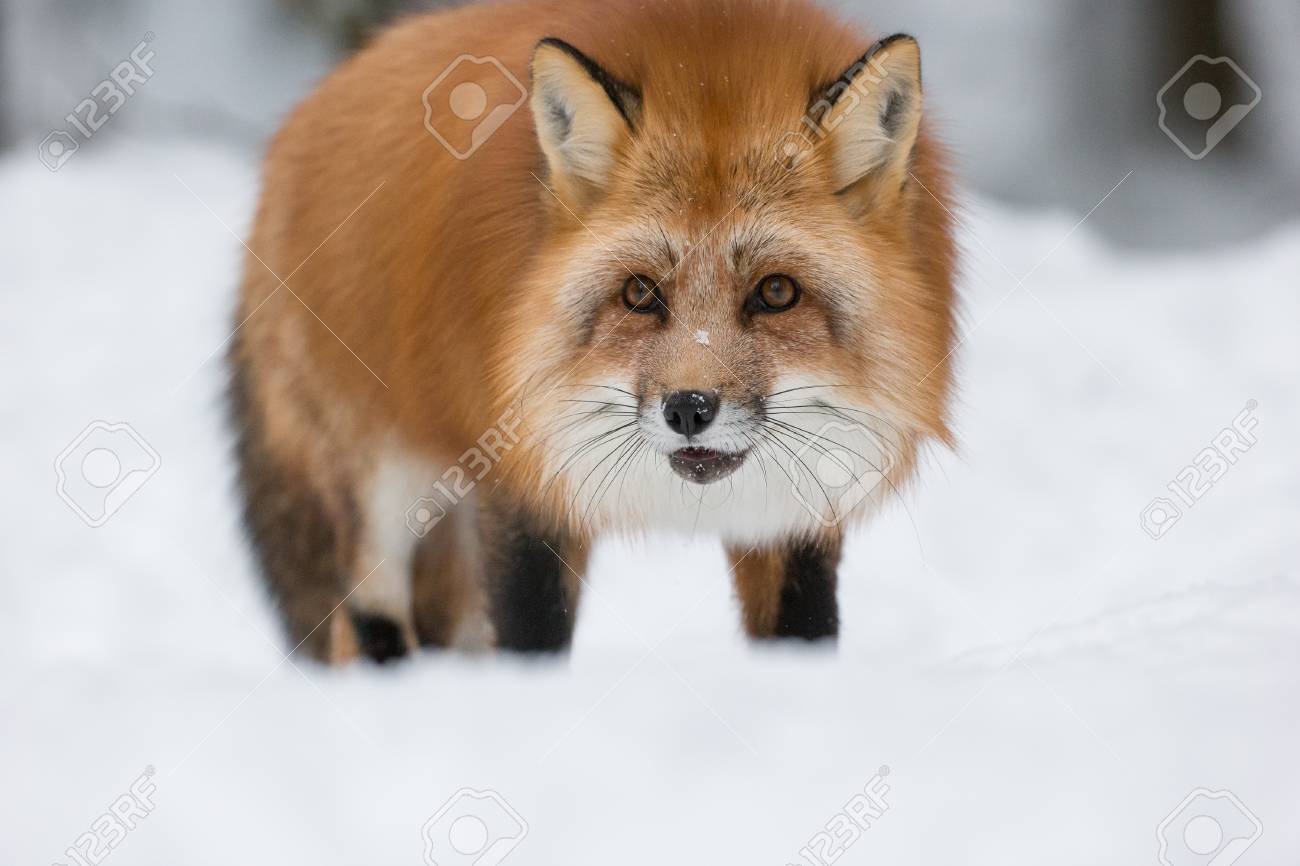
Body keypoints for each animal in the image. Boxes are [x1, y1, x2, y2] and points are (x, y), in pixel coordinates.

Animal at [228, 0, 958, 663]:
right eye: (640, 293)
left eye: (776, 292)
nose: (688, 409)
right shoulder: (522, 469)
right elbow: (532, 636)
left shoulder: (801, 503)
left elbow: (800, 633)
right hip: (384, 486)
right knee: (371, 616)